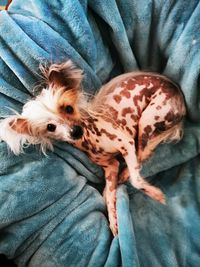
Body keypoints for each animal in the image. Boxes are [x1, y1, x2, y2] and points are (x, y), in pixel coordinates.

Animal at [0, 61, 186, 237]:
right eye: (50, 127)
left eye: (68, 108)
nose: (75, 131)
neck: (90, 137)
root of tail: (179, 95)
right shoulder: (111, 166)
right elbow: (109, 195)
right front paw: (114, 223)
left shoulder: (126, 142)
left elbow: (135, 179)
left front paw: (153, 193)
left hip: (148, 118)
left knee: (143, 152)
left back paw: (128, 173)